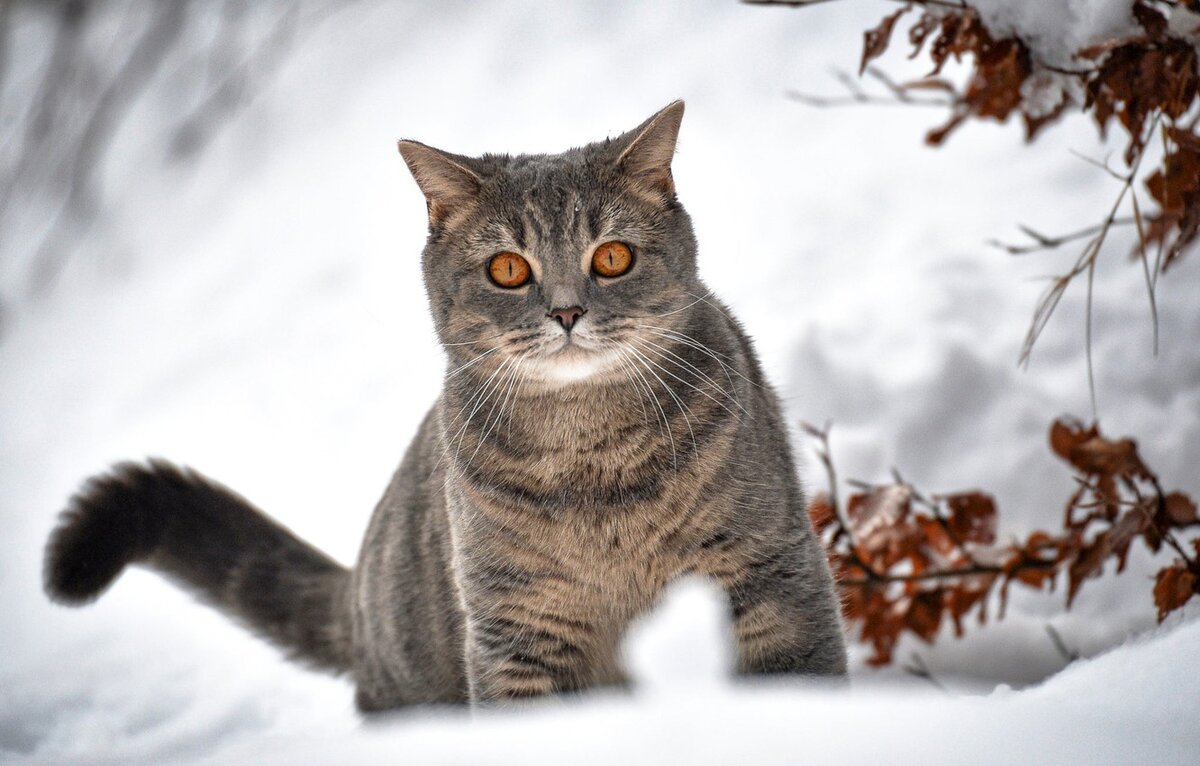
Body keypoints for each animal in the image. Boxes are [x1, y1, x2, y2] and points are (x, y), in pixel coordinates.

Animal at [42, 103, 849, 715]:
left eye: (612, 256)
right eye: (508, 268)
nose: (566, 312)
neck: (593, 463)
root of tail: (359, 595)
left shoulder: (770, 571)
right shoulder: (517, 629)